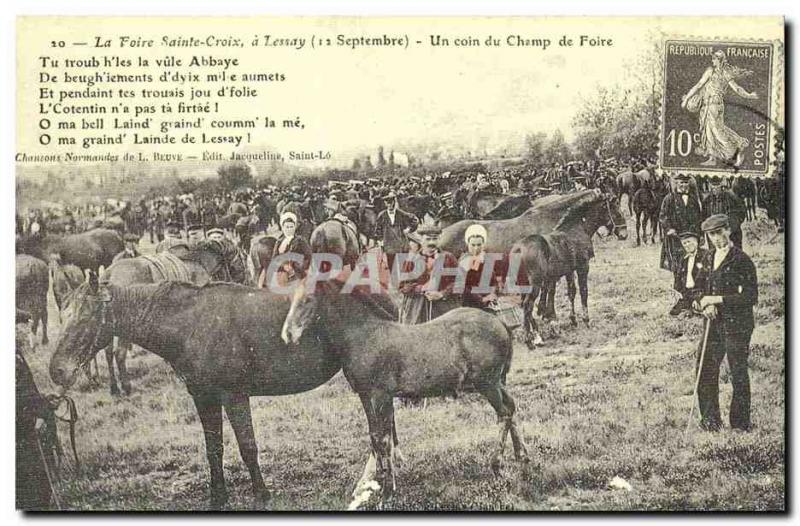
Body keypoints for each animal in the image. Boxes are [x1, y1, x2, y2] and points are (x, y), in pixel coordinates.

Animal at [48, 276, 398, 512]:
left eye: (86, 316)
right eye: (63, 315)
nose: (57, 371)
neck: (190, 324)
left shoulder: (234, 395)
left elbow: (247, 446)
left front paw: (261, 494)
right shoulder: (203, 397)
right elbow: (213, 448)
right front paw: (219, 496)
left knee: (380, 432)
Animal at [98, 239, 245, 396]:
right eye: (239, 258)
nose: (242, 278)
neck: (198, 261)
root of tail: (109, 274)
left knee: (108, 353)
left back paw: (114, 388)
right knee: (119, 353)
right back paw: (126, 386)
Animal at [278, 280, 528, 504]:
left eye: (308, 298)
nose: (287, 334)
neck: (365, 335)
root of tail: (500, 324)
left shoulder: (381, 395)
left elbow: (384, 438)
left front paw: (388, 490)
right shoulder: (365, 395)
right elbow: (374, 436)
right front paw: (377, 481)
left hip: (487, 383)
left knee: (504, 413)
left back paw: (497, 465)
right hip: (497, 382)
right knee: (512, 406)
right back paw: (521, 454)